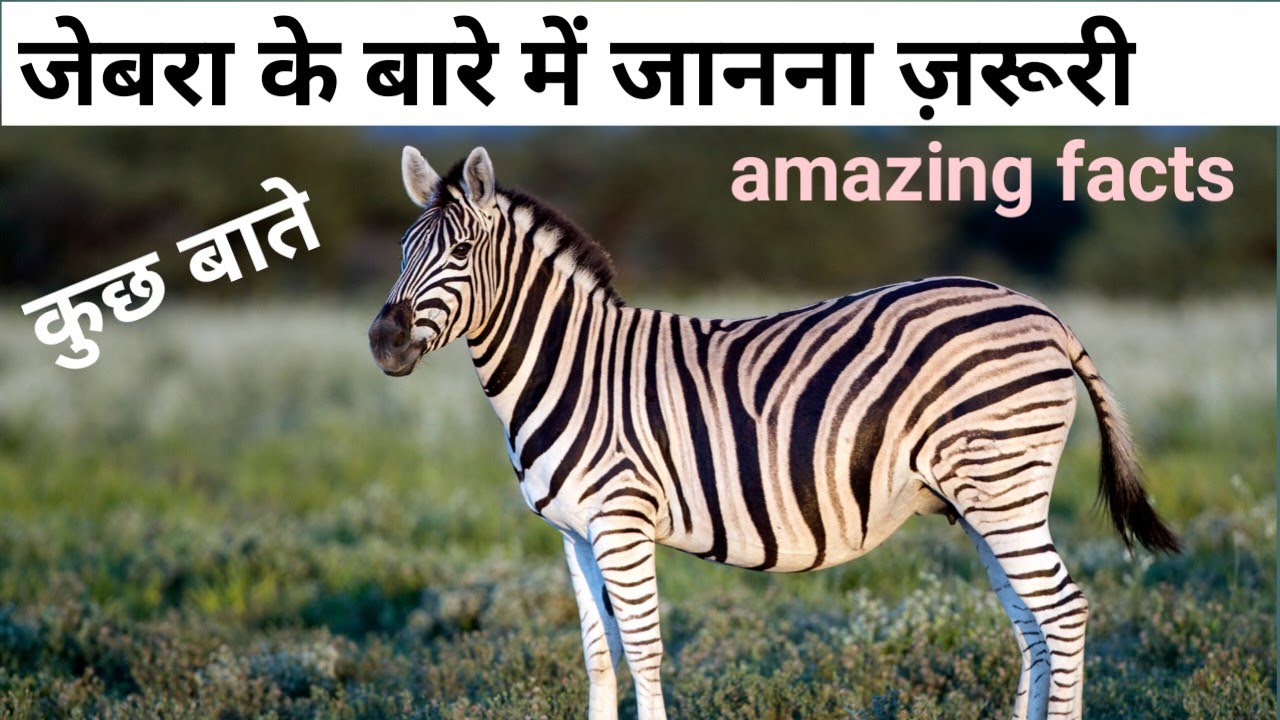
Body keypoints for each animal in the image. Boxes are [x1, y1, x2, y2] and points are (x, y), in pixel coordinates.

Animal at [368, 146, 1180, 720]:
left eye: (460, 254)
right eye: (402, 251)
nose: (383, 341)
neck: (572, 366)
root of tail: (1042, 311)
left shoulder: (622, 521)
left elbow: (644, 653)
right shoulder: (573, 532)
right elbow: (599, 658)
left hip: (1001, 485)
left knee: (1062, 612)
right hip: (987, 498)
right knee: (1032, 625)